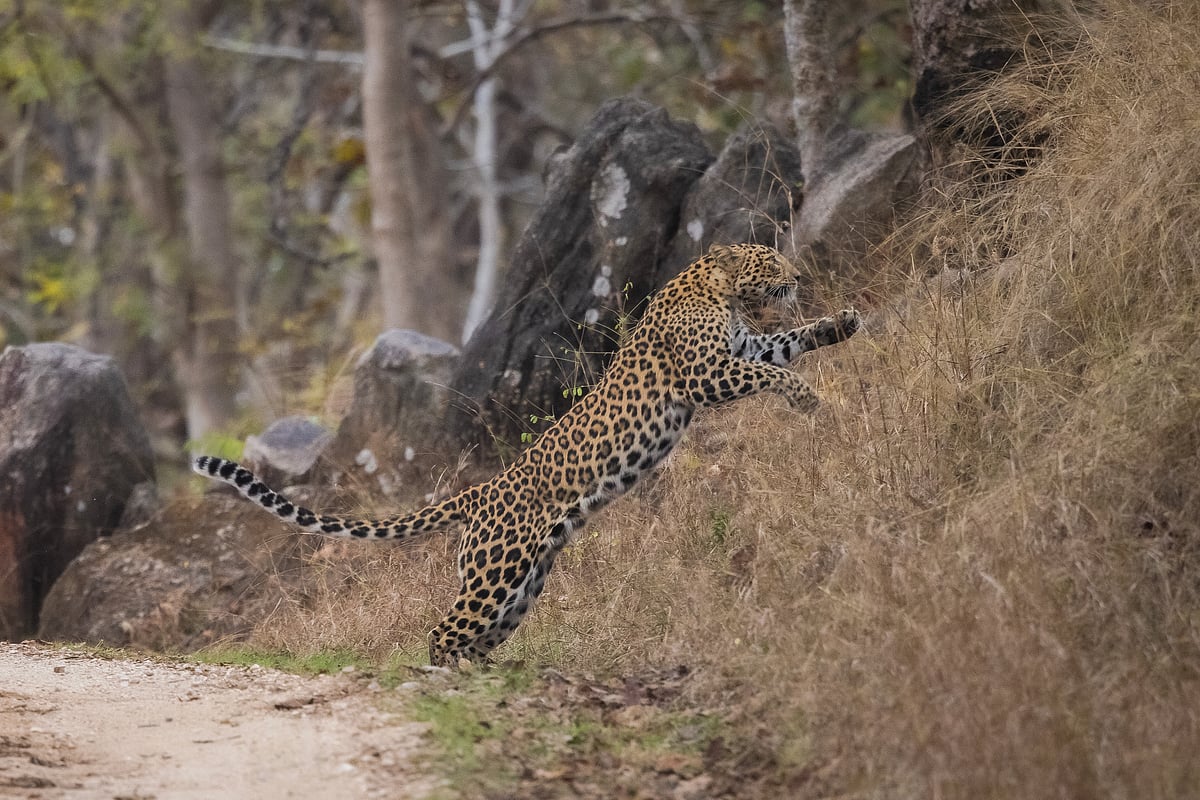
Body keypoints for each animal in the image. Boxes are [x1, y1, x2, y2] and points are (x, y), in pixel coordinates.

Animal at [193, 242, 861, 667]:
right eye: (770, 260)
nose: (798, 275)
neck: (715, 289)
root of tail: (479, 492)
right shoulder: (705, 373)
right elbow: (770, 372)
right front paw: (806, 398)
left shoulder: (745, 347)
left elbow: (785, 344)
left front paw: (842, 324)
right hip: (497, 572)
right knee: (443, 630)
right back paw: (451, 680)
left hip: (524, 581)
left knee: (475, 634)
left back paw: (486, 675)